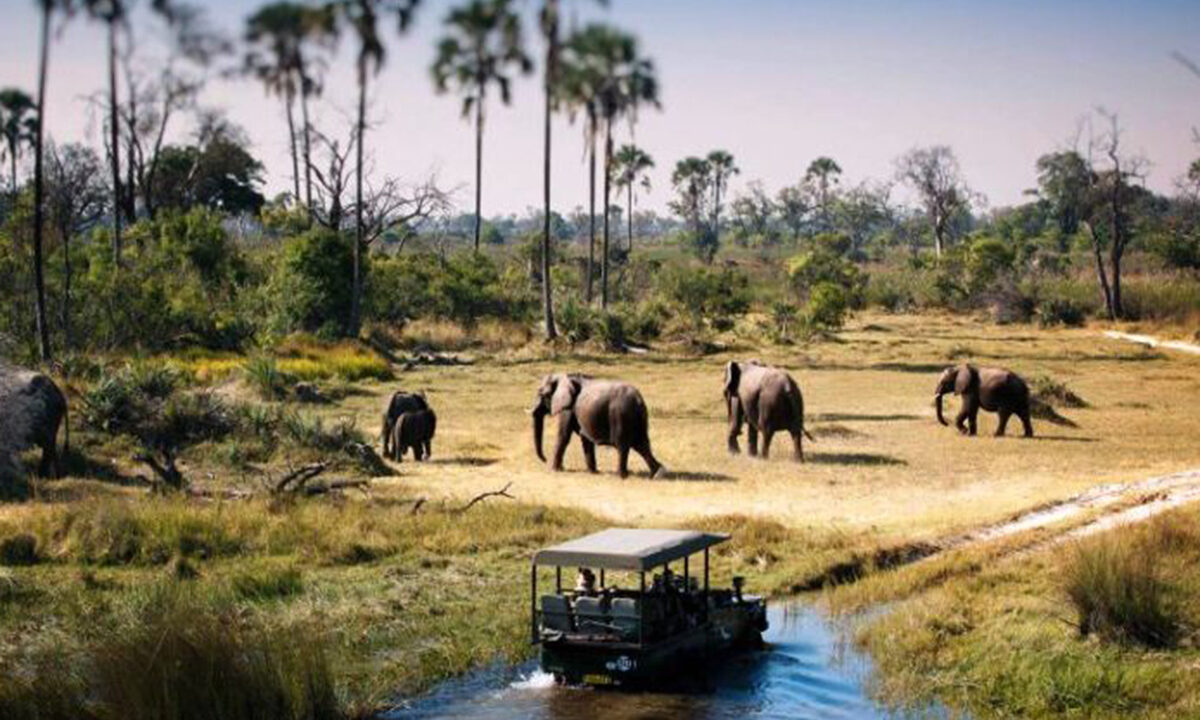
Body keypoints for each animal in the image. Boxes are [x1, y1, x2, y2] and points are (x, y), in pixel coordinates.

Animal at [530, 373, 663, 479]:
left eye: (542, 394)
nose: (545, 459)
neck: (565, 376)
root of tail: (638, 399)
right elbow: (585, 438)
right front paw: (593, 472)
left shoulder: (568, 408)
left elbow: (563, 436)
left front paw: (554, 470)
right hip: (638, 418)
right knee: (642, 445)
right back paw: (657, 473)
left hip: (621, 415)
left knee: (623, 446)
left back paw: (620, 476)